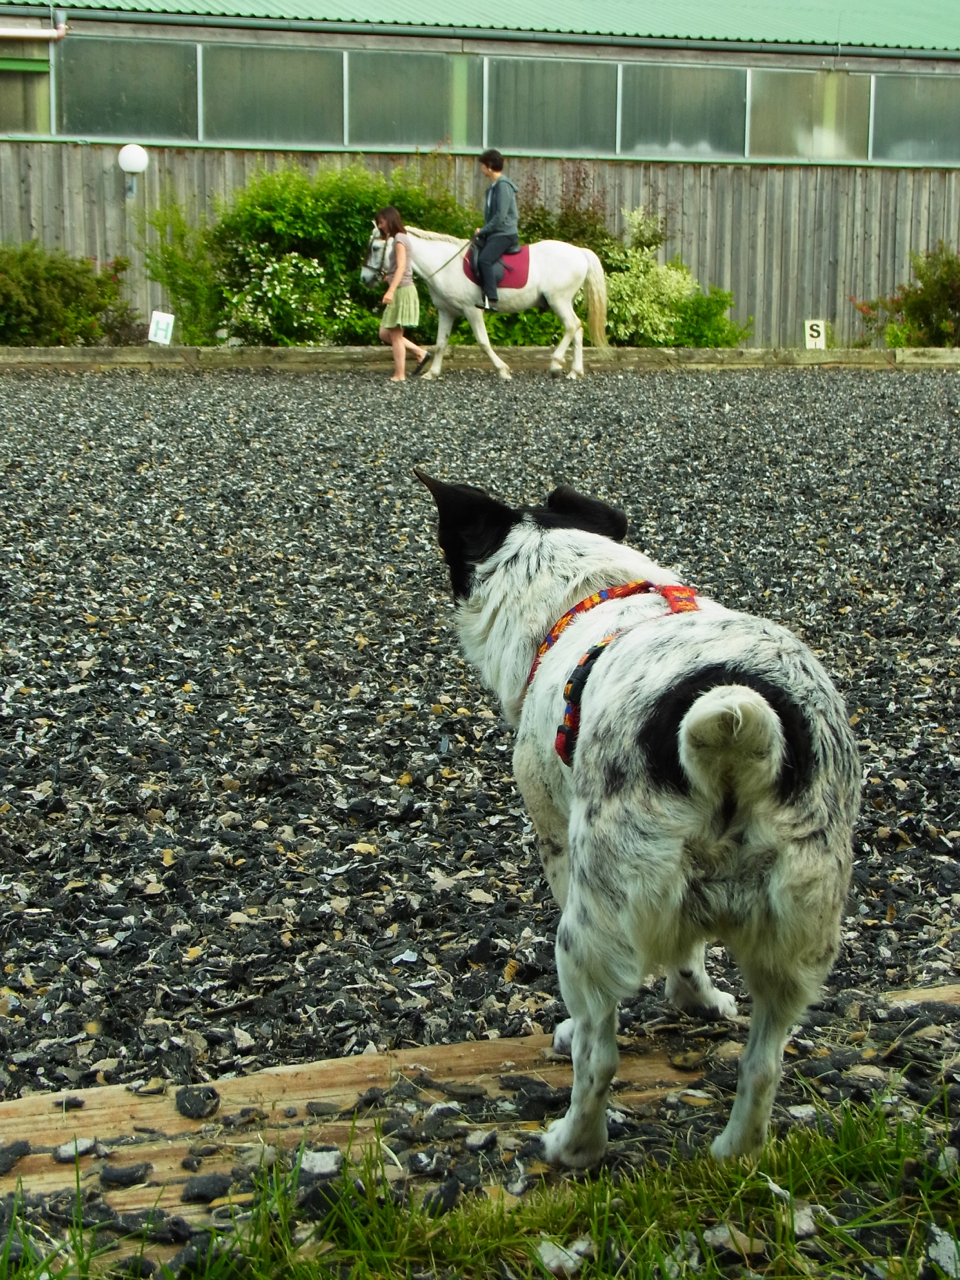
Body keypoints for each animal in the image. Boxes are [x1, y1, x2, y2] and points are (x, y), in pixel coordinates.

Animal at [361, 227, 608, 380]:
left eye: (375, 248)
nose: (364, 278)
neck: (444, 263)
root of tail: (579, 252)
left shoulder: (472, 310)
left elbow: (483, 342)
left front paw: (503, 370)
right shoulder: (446, 311)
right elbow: (440, 343)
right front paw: (432, 373)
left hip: (559, 300)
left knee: (571, 326)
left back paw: (556, 364)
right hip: (564, 302)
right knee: (577, 329)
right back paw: (575, 371)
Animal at [416, 471, 861, 1166]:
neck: (585, 595)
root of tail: (735, 725)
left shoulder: (557, 840)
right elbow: (691, 959)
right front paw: (698, 1001)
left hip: (589, 927)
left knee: (599, 1057)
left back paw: (572, 1144)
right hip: (796, 936)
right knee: (764, 1064)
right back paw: (735, 1151)